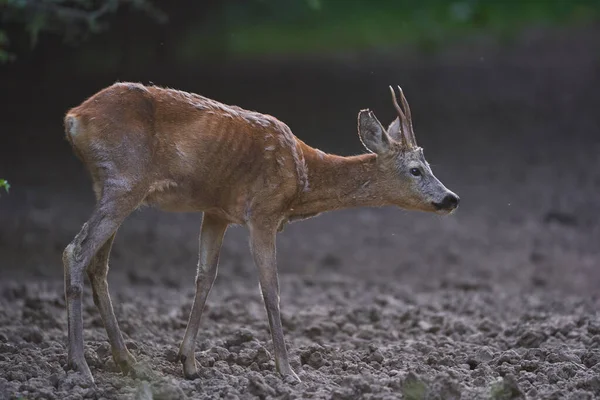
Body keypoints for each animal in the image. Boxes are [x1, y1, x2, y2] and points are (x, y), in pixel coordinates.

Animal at [62, 82, 460, 384]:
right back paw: (80, 365)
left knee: (99, 264)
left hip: (111, 185)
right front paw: (287, 371)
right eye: (415, 169)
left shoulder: (216, 211)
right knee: (75, 251)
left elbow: (205, 277)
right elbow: (270, 288)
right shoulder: (263, 213)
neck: (302, 178)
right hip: (125, 180)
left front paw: (188, 361)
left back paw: (126, 361)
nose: (451, 198)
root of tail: (74, 117)